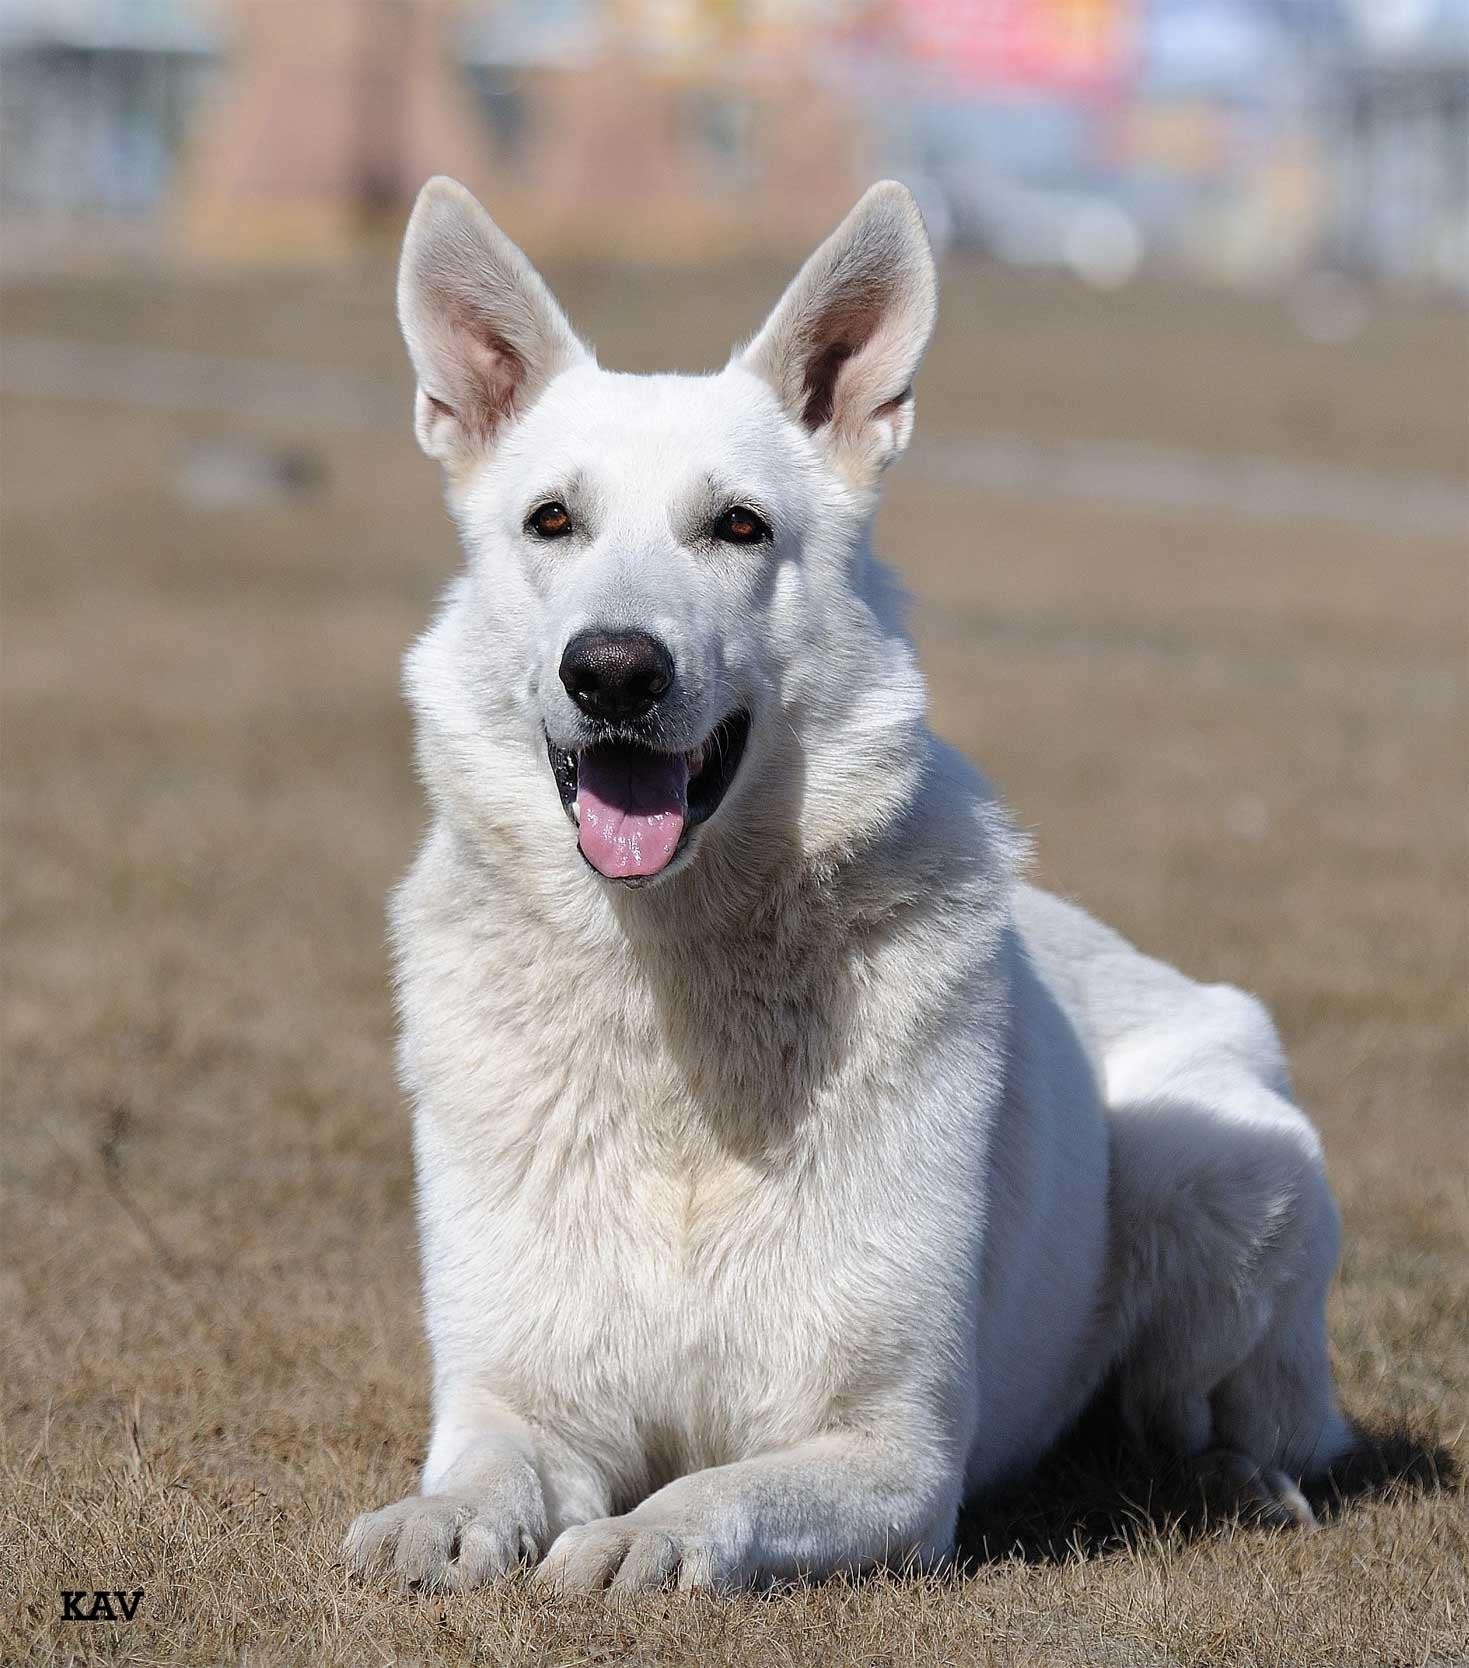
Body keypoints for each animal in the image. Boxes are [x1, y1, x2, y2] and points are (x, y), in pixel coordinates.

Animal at [343, 175, 1353, 1594]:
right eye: (551, 522)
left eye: (737, 527)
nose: (613, 670)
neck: (676, 987)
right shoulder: (522, 1401)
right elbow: (485, 1474)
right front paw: (433, 1521)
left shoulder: (889, 1456)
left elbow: (714, 1493)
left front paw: (640, 1541)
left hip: (1210, 1167)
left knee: (1215, 1414)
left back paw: (1233, 1478)